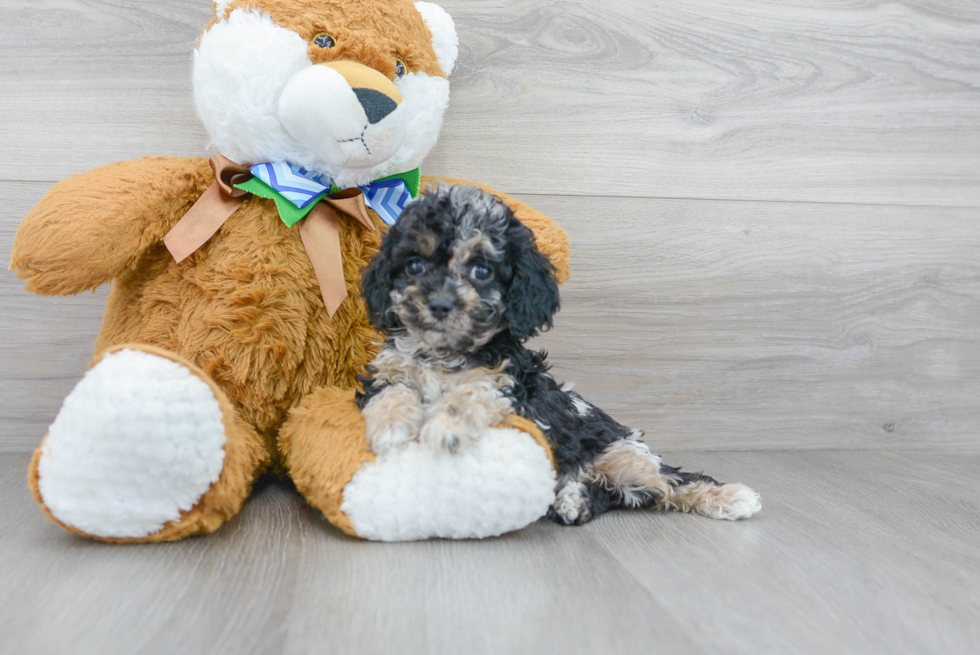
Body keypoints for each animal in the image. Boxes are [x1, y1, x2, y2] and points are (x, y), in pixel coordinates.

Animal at [356, 187, 760, 524]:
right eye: (414, 266)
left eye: (482, 270)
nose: (440, 304)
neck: (445, 352)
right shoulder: (385, 372)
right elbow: (394, 390)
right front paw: (391, 425)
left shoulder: (512, 387)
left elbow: (474, 391)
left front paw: (446, 426)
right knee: (617, 494)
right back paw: (573, 501)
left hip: (624, 454)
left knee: (670, 482)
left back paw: (731, 497)